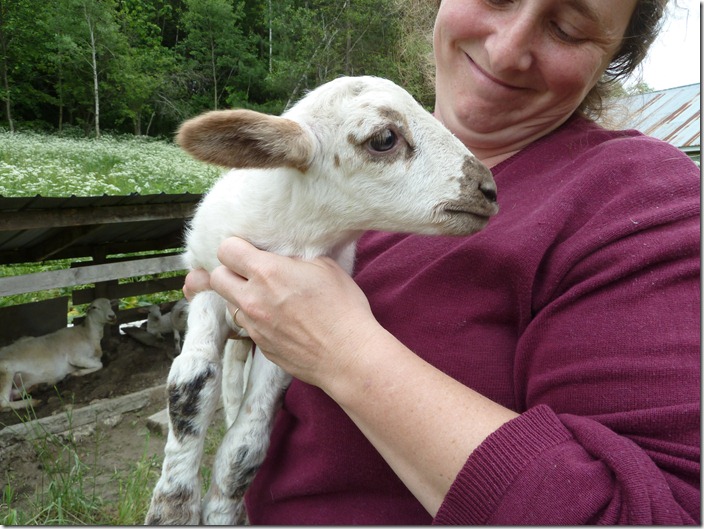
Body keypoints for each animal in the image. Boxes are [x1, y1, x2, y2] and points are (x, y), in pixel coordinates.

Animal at [146, 75, 498, 525]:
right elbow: (190, 384)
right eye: (384, 138)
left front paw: (222, 509)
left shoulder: (279, 338)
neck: (294, 233)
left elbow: (246, 446)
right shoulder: (207, 283)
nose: (488, 189)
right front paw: (172, 506)